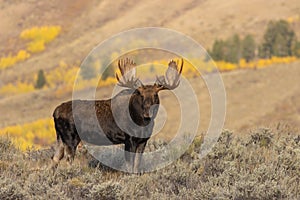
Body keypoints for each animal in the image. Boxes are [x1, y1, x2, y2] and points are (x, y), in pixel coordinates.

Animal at [51, 57, 183, 172]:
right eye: (141, 95)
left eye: (155, 95)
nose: (147, 113)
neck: (142, 123)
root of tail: (55, 112)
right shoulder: (129, 139)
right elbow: (130, 165)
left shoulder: (143, 141)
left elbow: (137, 164)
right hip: (70, 137)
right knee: (68, 159)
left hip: (60, 138)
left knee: (55, 158)